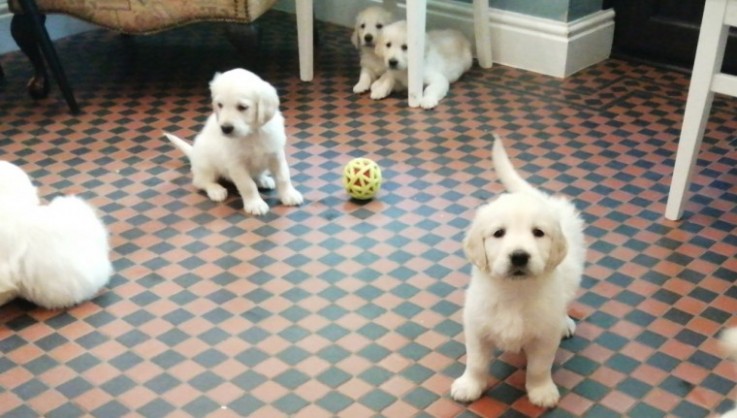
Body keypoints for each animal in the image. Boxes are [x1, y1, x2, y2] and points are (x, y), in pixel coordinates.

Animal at [165, 68, 304, 216]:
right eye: (220, 105)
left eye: (242, 107)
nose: (225, 128)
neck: (251, 134)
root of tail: (193, 153)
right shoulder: (236, 165)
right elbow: (247, 185)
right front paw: (255, 204)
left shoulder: (275, 155)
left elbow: (283, 177)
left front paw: (289, 195)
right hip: (206, 165)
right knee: (200, 181)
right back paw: (216, 190)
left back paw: (263, 180)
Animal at [448, 136, 588, 408]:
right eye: (499, 233)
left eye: (538, 232)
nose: (519, 256)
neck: (514, 291)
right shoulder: (477, 326)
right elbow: (476, 362)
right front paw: (469, 386)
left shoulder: (545, 335)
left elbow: (539, 367)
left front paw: (541, 391)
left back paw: (565, 322)